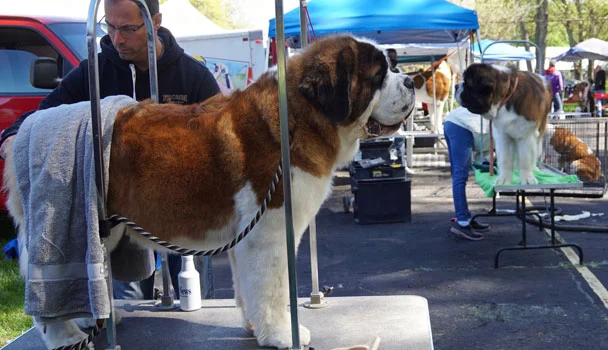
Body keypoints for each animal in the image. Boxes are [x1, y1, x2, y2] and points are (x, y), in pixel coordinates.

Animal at [2, 34, 416, 348]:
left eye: (392, 67)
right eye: (379, 75)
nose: (412, 81)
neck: (299, 117)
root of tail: (25, 130)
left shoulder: (248, 236)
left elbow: (250, 287)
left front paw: (255, 326)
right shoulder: (270, 233)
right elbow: (274, 288)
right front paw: (282, 334)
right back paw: (65, 335)